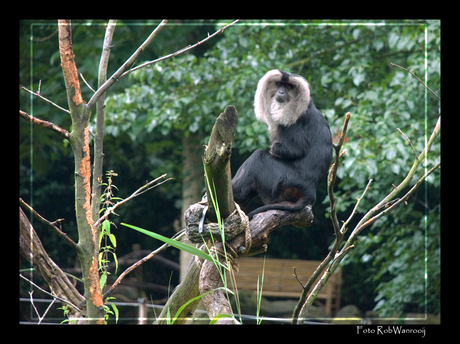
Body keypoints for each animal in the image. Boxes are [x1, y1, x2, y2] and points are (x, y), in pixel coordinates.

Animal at [232, 69, 332, 219]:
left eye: (289, 87)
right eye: (279, 84)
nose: (281, 92)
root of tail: (310, 192)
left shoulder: (295, 121)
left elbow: (292, 150)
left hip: (283, 181)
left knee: (258, 157)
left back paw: (235, 193)